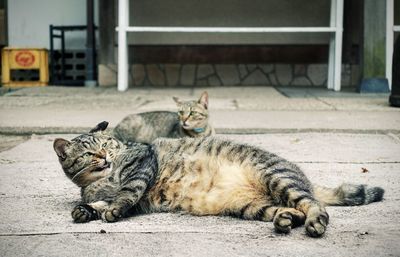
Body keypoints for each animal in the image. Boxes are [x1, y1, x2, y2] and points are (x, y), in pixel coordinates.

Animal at [53, 121, 384, 237]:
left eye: (107, 145)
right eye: (89, 153)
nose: (105, 157)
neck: (102, 180)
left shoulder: (141, 166)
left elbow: (125, 194)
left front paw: (111, 209)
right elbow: (95, 202)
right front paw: (85, 210)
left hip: (277, 177)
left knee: (315, 205)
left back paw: (315, 223)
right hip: (252, 207)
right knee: (293, 210)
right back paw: (286, 220)